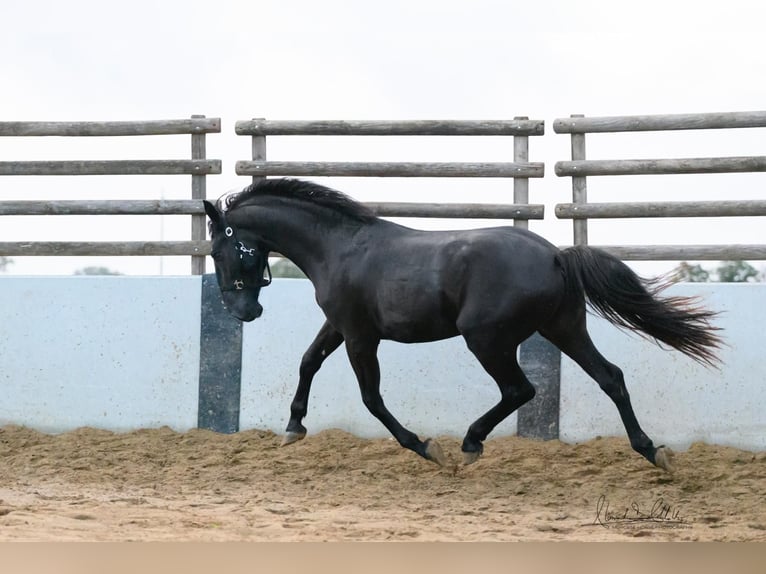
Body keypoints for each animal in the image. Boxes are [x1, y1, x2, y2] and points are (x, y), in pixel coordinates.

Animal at [202, 179, 720, 472]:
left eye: (218, 250)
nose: (242, 313)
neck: (339, 248)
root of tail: (555, 255)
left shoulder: (360, 336)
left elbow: (371, 399)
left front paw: (427, 448)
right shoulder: (339, 326)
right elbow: (308, 361)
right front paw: (293, 427)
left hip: (487, 339)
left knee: (520, 390)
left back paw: (470, 445)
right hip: (564, 328)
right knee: (610, 377)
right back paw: (653, 452)